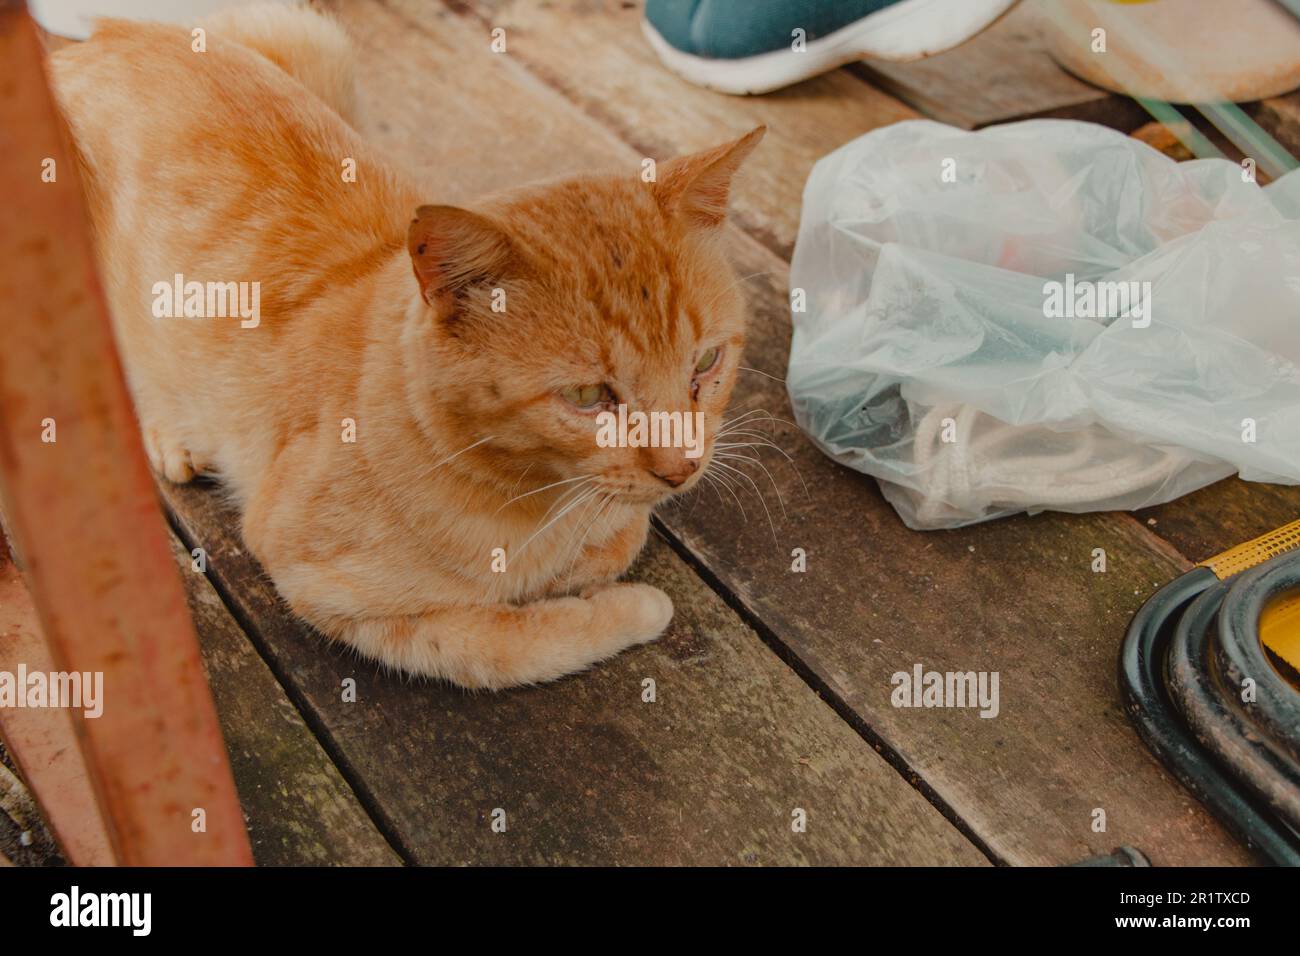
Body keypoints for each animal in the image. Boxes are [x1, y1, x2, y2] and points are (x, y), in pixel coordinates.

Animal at [53, 1, 759, 686]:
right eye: (589, 397)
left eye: (706, 363)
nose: (683, 468)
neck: (534, 499)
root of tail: (98, 38)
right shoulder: (325, 586)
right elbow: (510, 645)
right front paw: (627, 607)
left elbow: (622, 538)